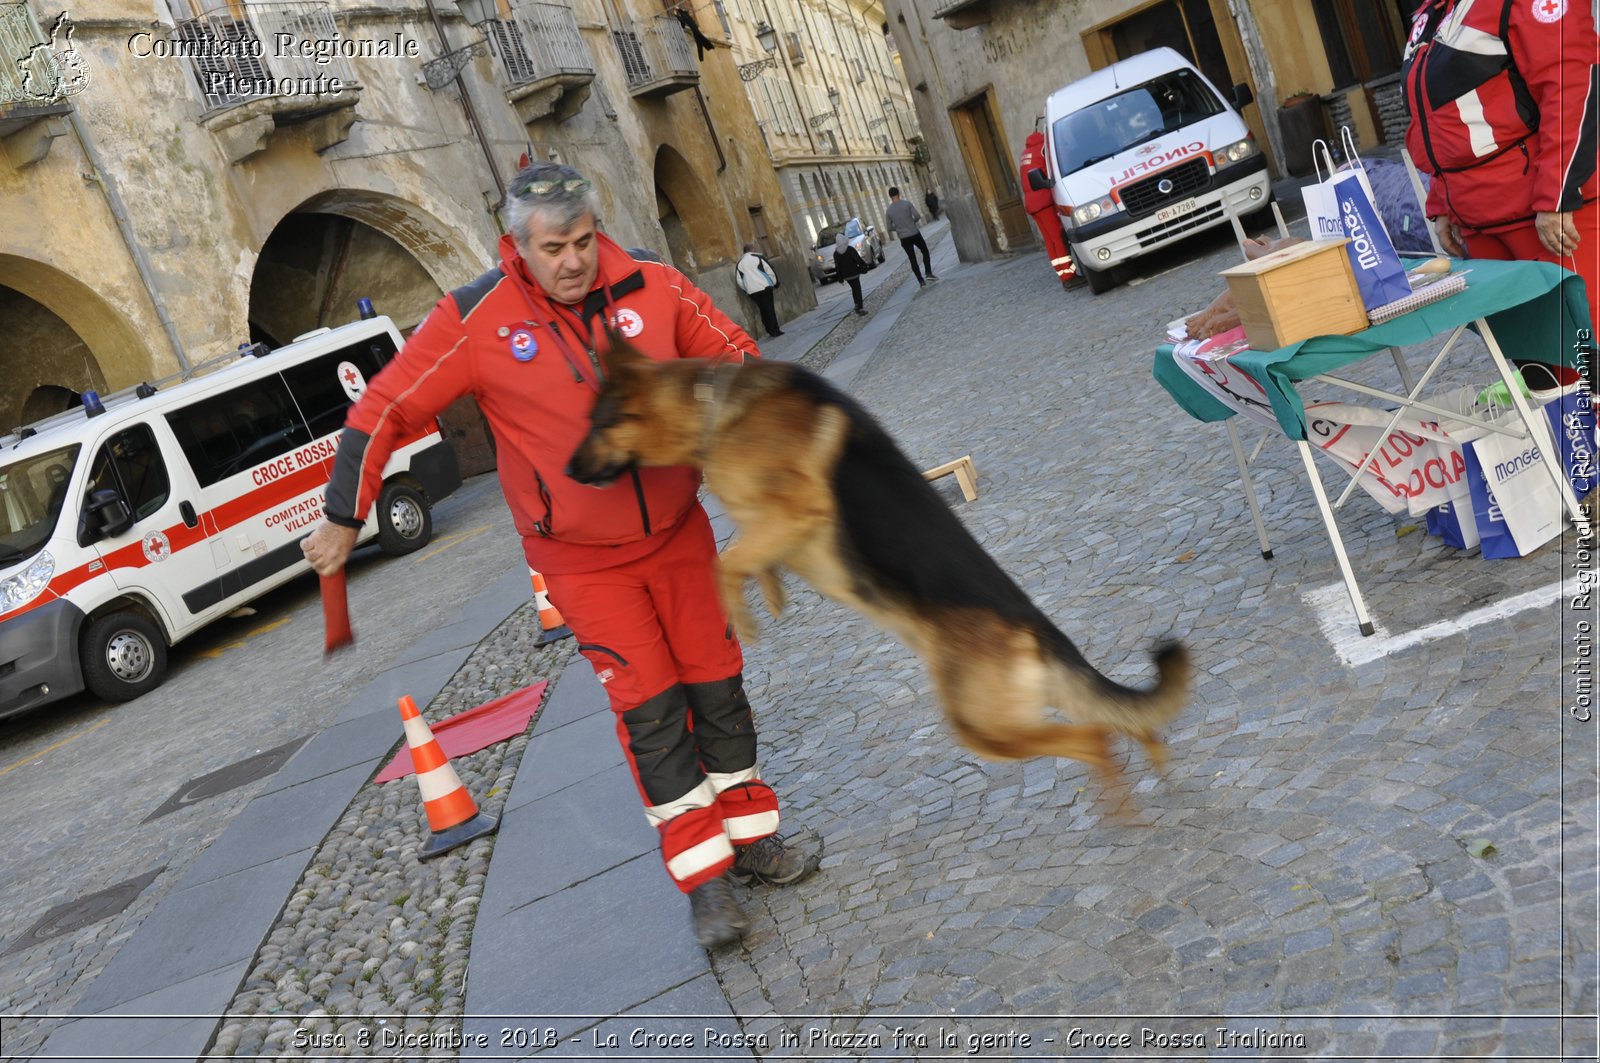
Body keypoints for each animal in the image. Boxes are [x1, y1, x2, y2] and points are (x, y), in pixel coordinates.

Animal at [566, 340, 1190, 797]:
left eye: (598, 423)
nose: (568, 473)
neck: (712, 408)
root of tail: (1031, 623)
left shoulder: (796, 509)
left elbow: (724, 562)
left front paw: (743, 617)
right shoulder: (768, 524)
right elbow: (747, 554)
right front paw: (771, 592)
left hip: (984, 723)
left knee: (1093, 738)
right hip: (1019, 712)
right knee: (1121, 723)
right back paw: (1157, 768)